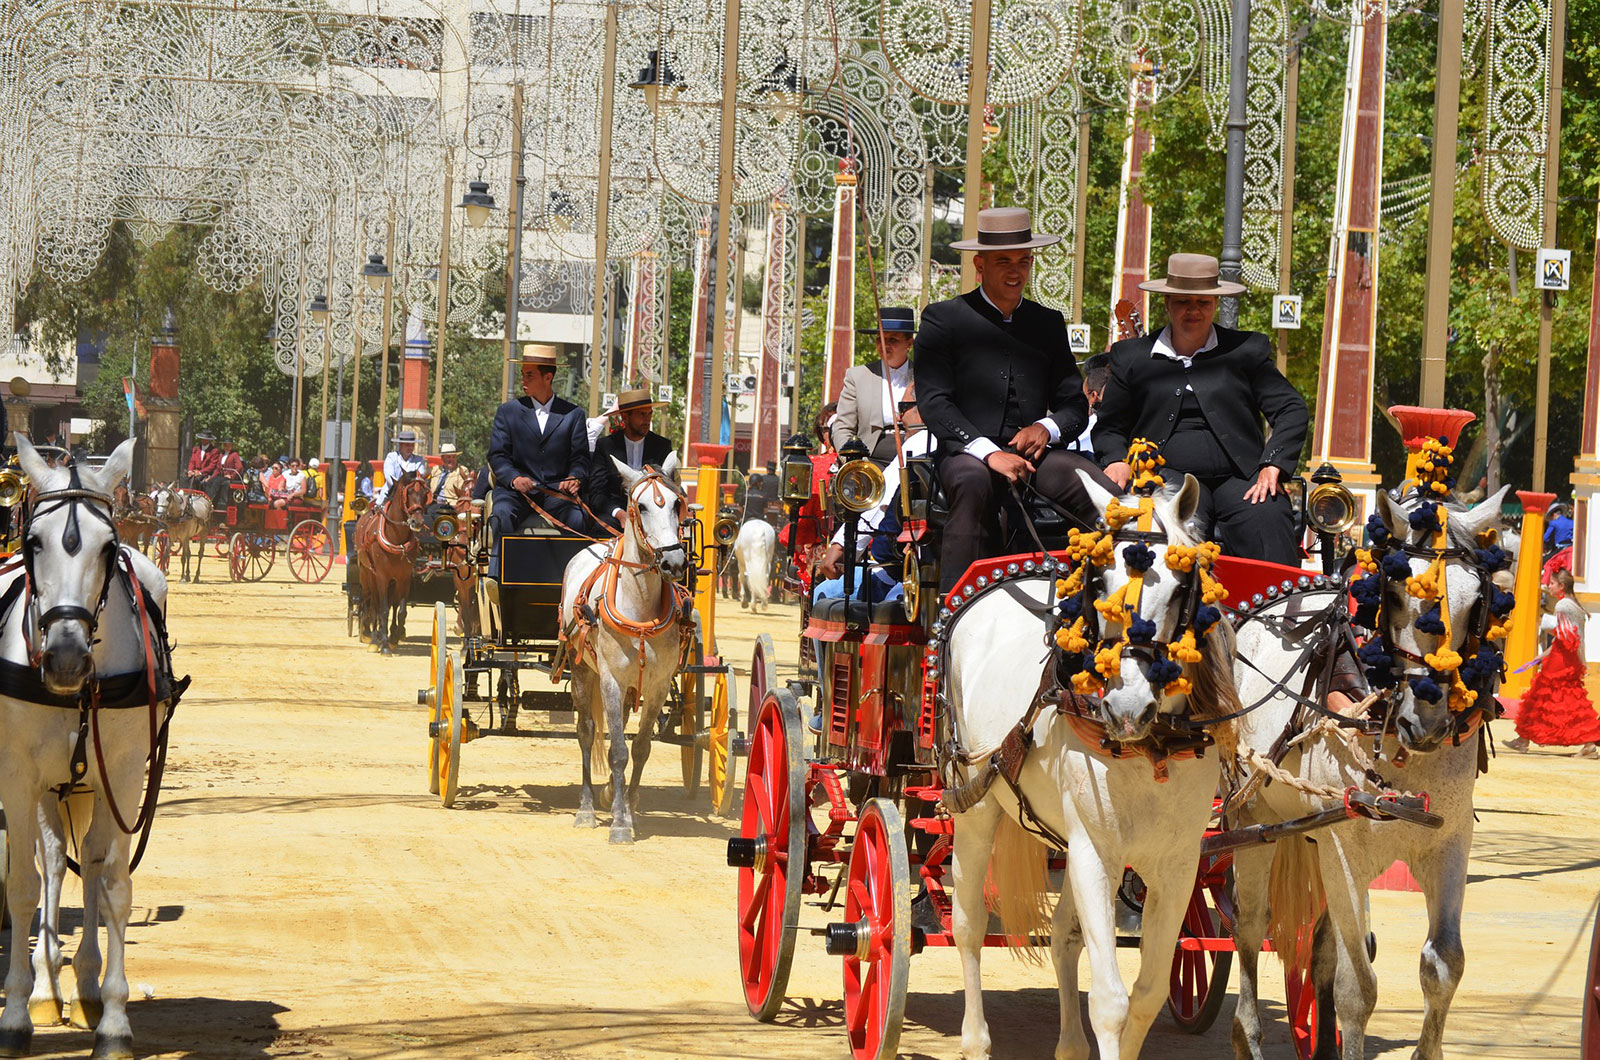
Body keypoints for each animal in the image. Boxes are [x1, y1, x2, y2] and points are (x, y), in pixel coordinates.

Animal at [0, 435, 178, 1056]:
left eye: (109, 547)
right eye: (35, 542)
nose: (66, 659)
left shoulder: (122, 775)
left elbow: (116, 886)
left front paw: (115, 1021)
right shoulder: (18, 775)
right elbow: (23, 885)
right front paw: (16, 1013)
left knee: (93, 864)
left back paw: (83, 987)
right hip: (49, 784)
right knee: (54, 863)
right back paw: (45, 986)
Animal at [350, 473, 425, 656]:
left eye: (425, 493)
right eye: (408, 492)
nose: (417, 521)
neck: (396, 538)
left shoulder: (404, 578)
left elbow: (400, 610)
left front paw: (393, 638)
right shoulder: (382, 577)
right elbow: (382, 610)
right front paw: (383, 644)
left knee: (387, 605)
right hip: (368, 575)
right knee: (371, 604)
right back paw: (371, 636)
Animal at [560, 457, 684, 845]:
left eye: (677, 504)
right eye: (640, 507)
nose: (674, 562)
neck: (640, 608)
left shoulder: (658, 686)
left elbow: (641, 749)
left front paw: (628, 810)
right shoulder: (611, 681)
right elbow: (617, 751)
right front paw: (618, 823)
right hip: (583, 672)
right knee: (586, 732)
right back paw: (586, 808)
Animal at [940, 477, 1241, 1060]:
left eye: (1180, 587)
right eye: (1098, 580)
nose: (1126, 708)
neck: (1152, 750)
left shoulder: (1176, 867)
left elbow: (1147, 994)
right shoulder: (1095, 853)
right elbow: (1110, 1001)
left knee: (1062, 936)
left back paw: (1069, 1046)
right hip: (975, 802)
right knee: (967, 924)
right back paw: (975, 1039)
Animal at [1222, 486, 1510, 1060]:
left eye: (1477, 601)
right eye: (1394, 594)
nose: (1427, 719)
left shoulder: (1449, 844)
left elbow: (1444, 966)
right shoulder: (1345, 855)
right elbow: (1358, 990)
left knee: (1320, 949)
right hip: (1253, 821)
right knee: (1250, 925)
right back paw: (1247, 1034)